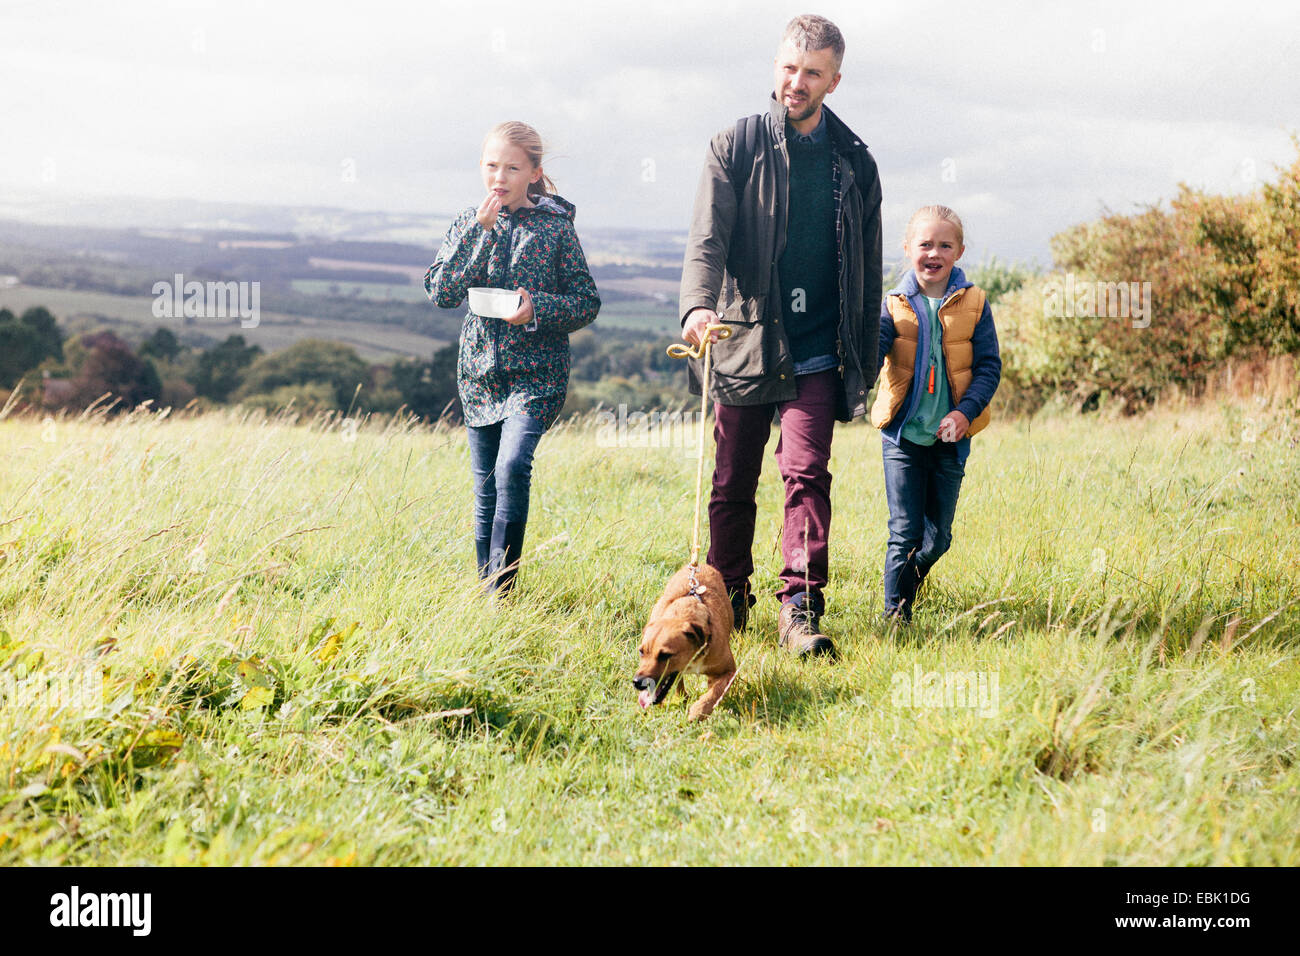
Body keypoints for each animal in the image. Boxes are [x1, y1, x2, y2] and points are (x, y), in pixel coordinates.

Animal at [634, 561, 738, 717]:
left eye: (665, 655)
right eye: (641, 652)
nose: (637, 682)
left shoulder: (729, 671)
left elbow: (716, 690)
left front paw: (699, 710)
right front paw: (687, 701)